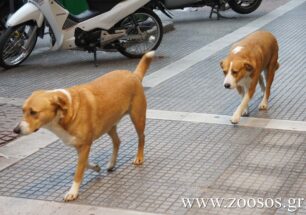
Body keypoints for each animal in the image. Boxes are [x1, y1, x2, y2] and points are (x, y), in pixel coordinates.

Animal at [13, 51, 154, 202]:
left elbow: (79, 170)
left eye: (33, 112)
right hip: (108, 124)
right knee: (117, 141)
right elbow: (84, 163)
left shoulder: (85, 144)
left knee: (141, 137)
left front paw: (73, 191)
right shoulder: (78, 145)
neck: (64, 113)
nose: (16, 130)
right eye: (22, 110)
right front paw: (96, 167)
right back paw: (111, 163)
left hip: (137, 117)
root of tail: (133, 75)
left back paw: (139, 157)